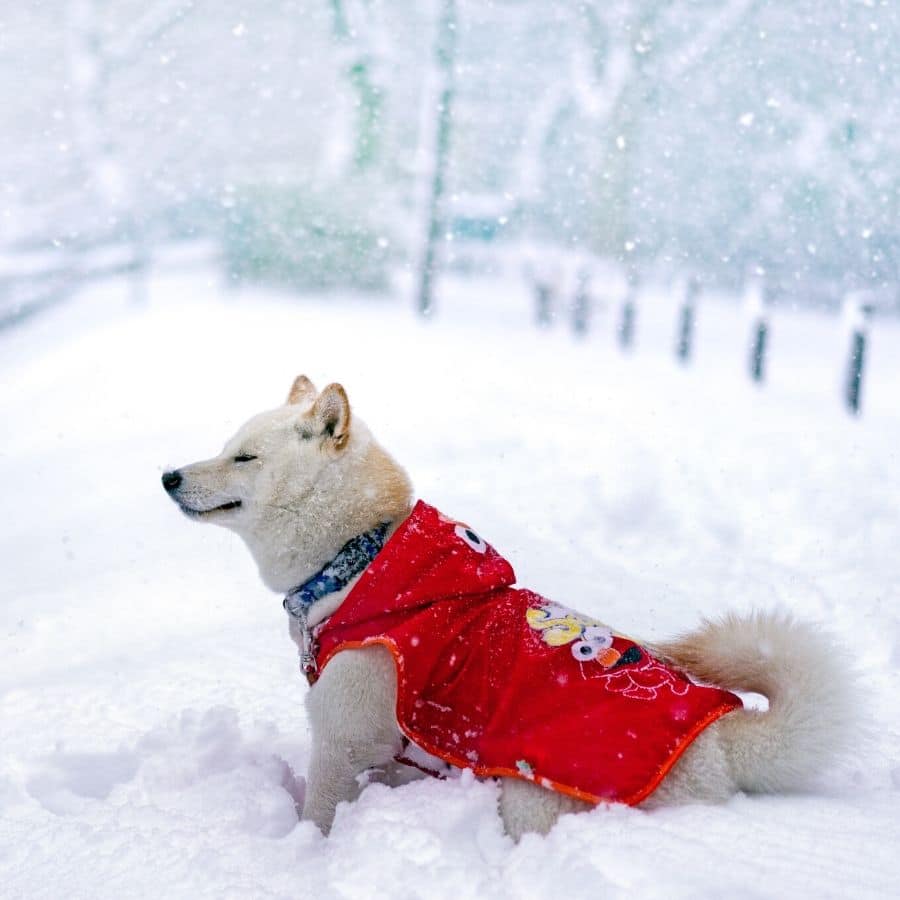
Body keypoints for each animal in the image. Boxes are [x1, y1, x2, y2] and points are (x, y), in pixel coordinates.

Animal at [163, 376, 856, 840]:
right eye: (226, 445)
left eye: (244, 457)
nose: (169, 476)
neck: (356, 561)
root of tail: (719, 747)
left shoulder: (344, 738)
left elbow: (321, 813)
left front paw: (304, 850)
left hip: (530, 797)